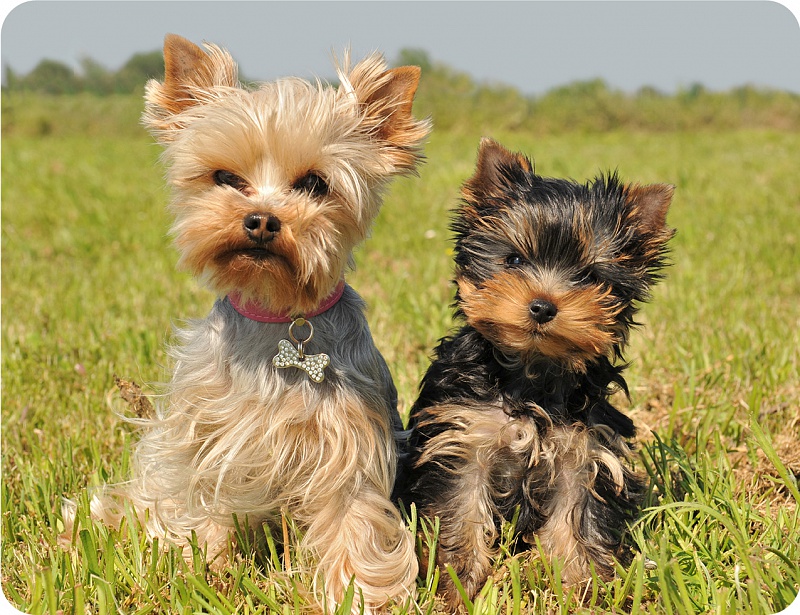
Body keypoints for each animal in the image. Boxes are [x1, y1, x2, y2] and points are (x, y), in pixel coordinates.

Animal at [62, 34, 430, 613]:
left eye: (315, 184)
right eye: (226, 179)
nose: (260, 219)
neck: (279, 317)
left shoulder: (348, 442)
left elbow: (353, 519)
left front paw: (355, 595)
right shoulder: (205, 435)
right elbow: (199, 504)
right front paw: (200, 571)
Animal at [399, 138, 674, 607]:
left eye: (589, 276)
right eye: (512, 259)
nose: (543, 305)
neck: (530, 372)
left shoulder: (585, 452)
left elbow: (577, 519)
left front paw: (582, 589)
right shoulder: (464, 437)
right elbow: (461, 509)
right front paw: (458, 588)